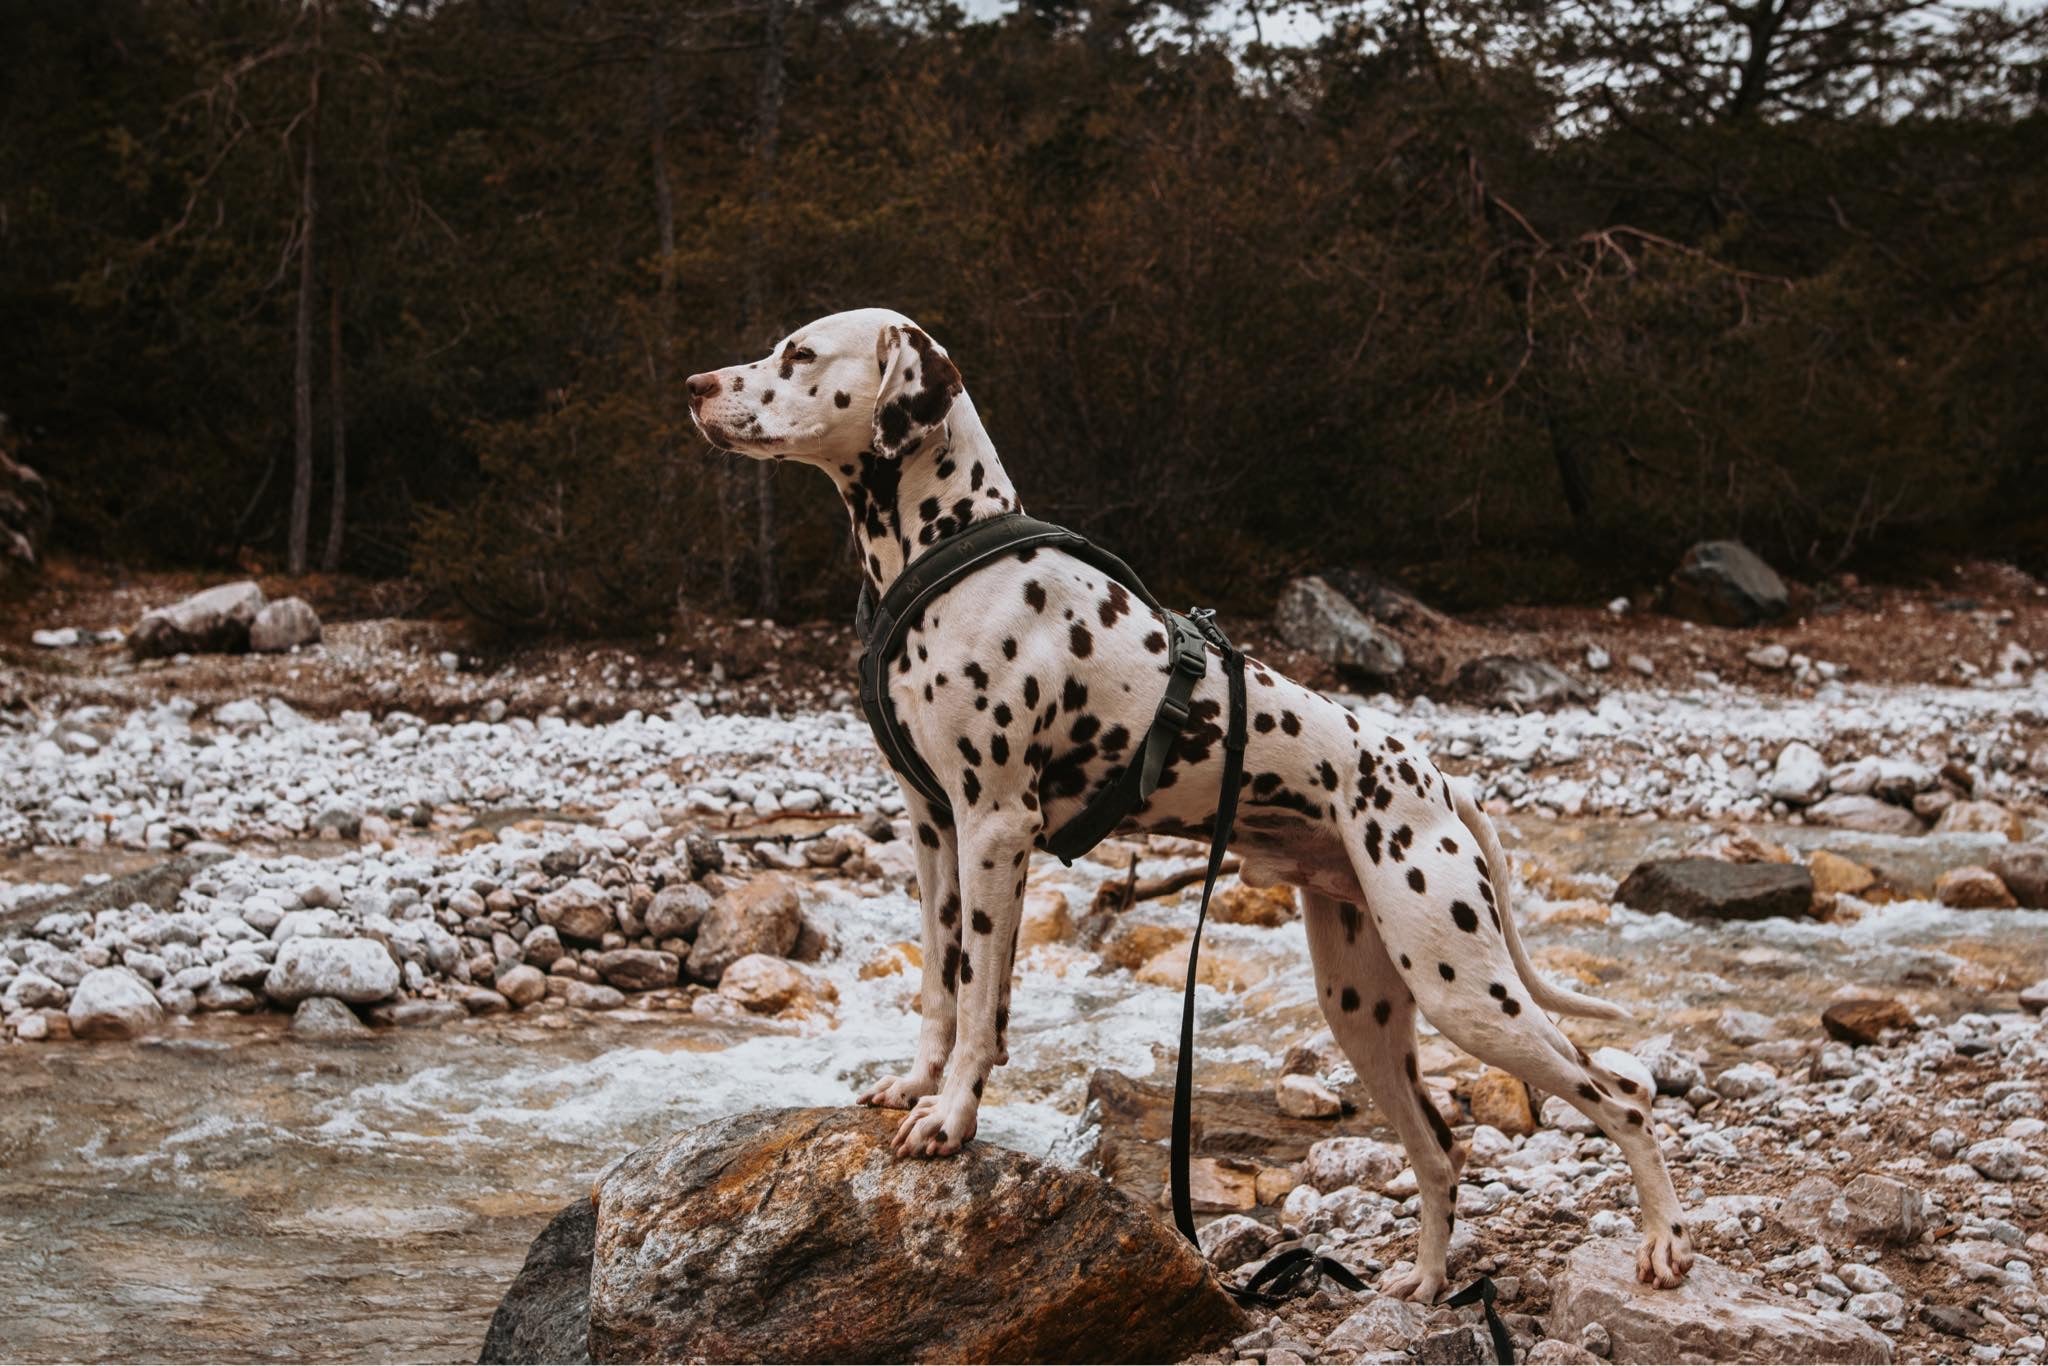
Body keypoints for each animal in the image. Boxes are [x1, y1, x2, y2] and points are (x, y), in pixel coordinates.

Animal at [688, 309, 1695, 1302]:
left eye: (799, 353)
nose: (696, 387)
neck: (947, 555)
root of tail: (1440, 781)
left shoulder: (994, 826)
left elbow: (978, 1004)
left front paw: (953, 1117)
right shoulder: (936, 831)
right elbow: (943, 988)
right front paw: (914, 1087)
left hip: (1465, 990)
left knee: (1622, 1099)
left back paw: (1661, 1244)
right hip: (1364, 1009)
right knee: (1440, 1151)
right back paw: (1423, 1283)